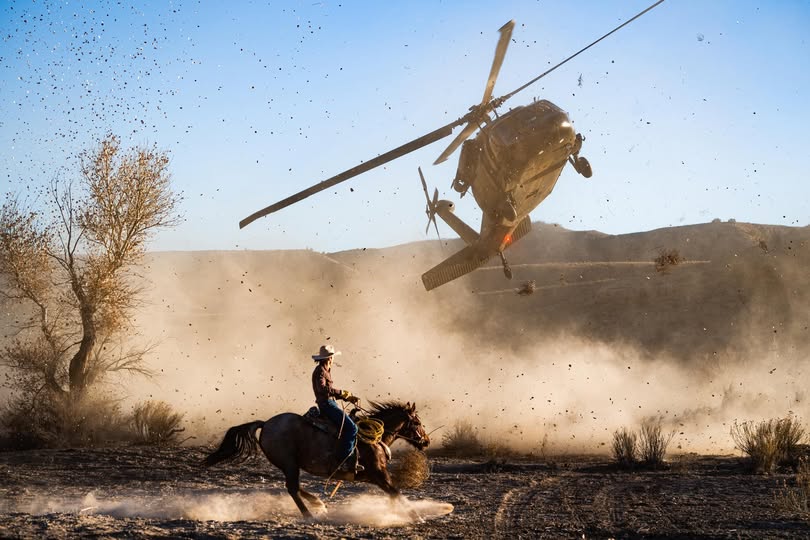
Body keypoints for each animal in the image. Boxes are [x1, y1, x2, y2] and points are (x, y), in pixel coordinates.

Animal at [203, 400, 430, 517]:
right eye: (417, 422)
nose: (426, 441)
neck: (375, 438)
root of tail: (266, 423)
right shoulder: (379, 474)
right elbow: (396, 492)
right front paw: (416, 516)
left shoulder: (374, 477)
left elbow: (392, 495)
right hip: (290, 464)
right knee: (292, 488)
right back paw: (309, 514)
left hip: (290, 465)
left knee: (295, 487)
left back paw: (318, 503)